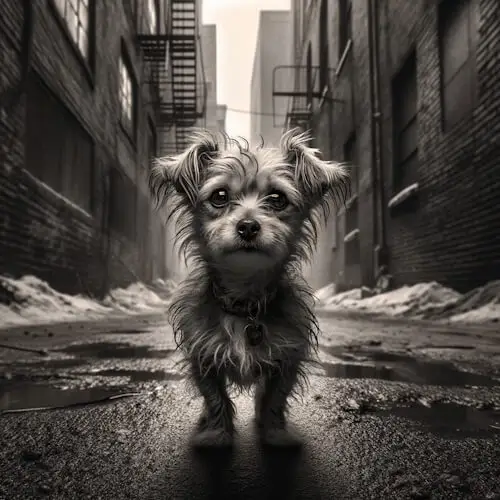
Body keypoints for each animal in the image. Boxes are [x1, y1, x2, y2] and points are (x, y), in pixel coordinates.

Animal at [149, 129, 348, 450]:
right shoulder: (203, 357)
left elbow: (274, 400)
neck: (245, 303)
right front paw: (216, 435)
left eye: (277, 198)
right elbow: (215, 398)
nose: (248, 226)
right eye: (219, 196)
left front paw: (275, 434)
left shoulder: (286, 359)